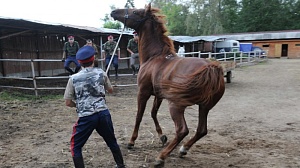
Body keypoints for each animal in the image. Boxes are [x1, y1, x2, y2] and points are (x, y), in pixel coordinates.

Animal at [111, 3, 224, 167]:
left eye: (136, 12)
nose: (113, 12)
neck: (154, 57)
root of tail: (212, 68)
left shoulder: (143, 92)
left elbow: (139, 115)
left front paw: (132, 141)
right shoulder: (159, 95)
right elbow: (153, 113)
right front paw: (162, 136)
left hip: (176, 106)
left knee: (182, 130)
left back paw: (161, 157)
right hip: (204, 107)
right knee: (202, 130)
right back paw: (183, 149)